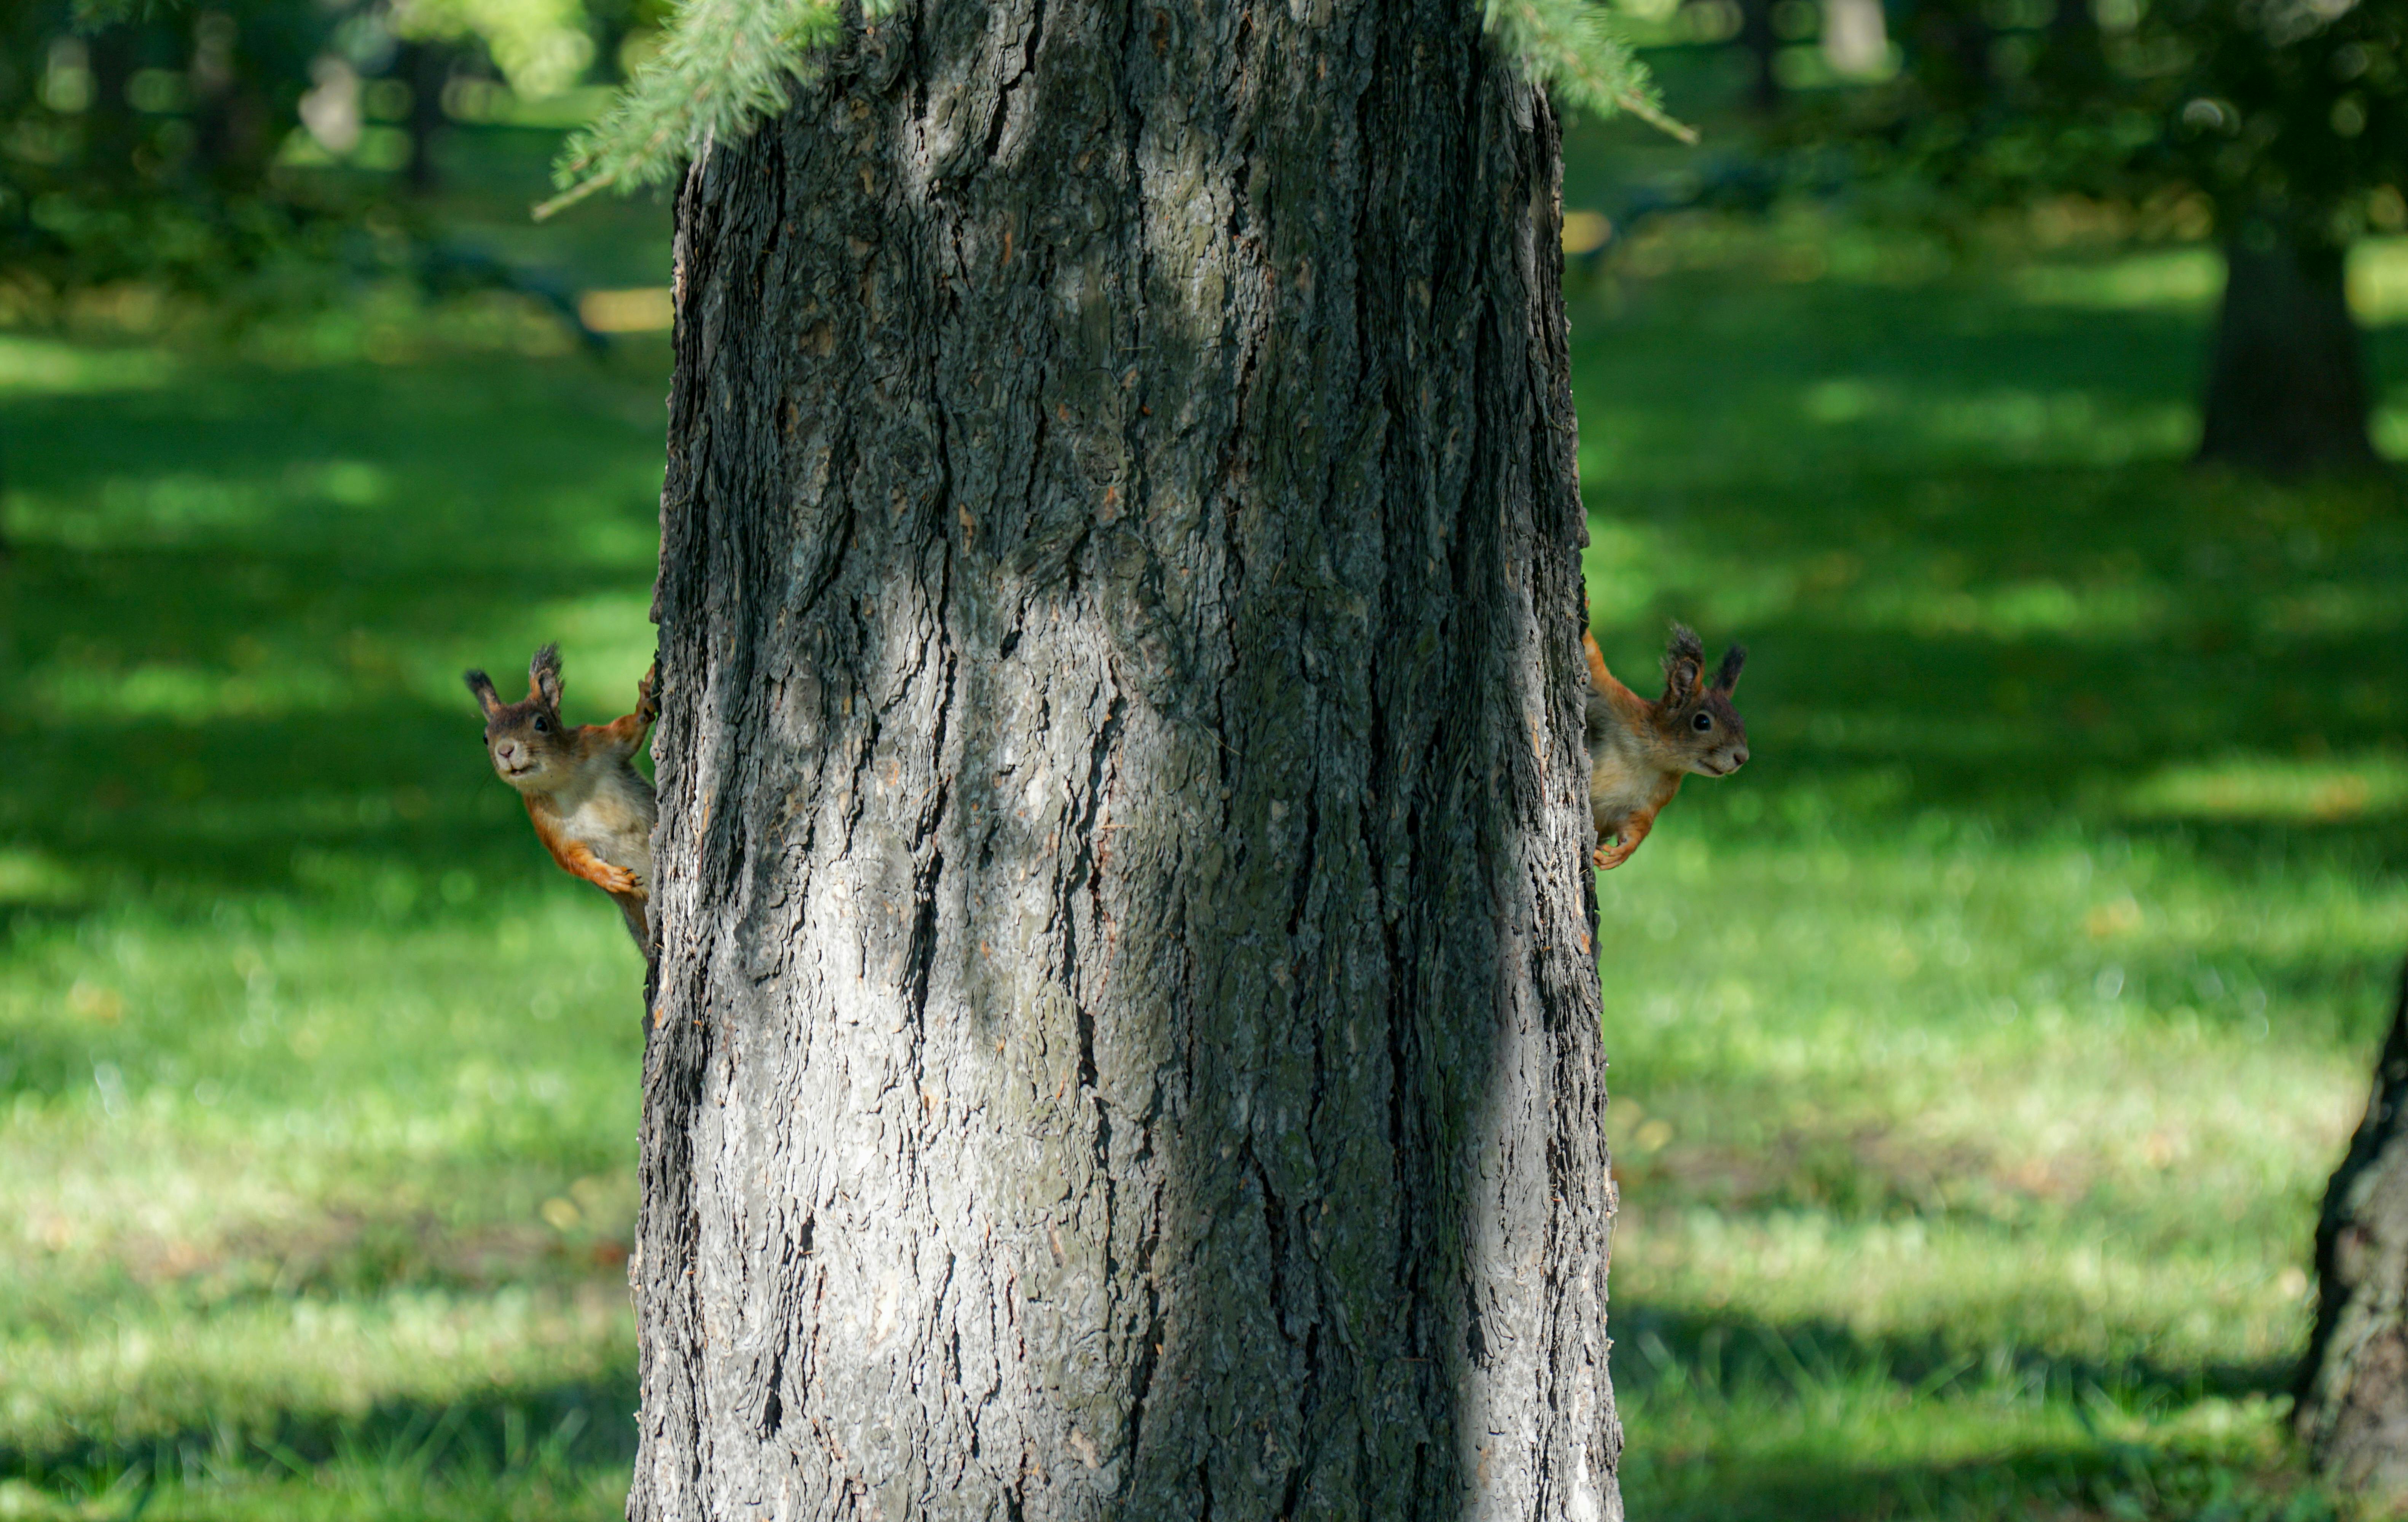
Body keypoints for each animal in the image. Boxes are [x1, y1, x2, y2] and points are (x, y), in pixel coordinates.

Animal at [465, 645, 660, 954]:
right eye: (485, 737)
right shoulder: (545, 823)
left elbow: (630, 730)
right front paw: (611, 878)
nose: (505, 750)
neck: (565, 781)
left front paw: (644, 700)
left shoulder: (599, 741)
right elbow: (570, 858)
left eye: (541, 724)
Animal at [1579, 621, 1753, 867]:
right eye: (1702, 722)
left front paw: (1622, 853)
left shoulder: (1652, 802)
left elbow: (1639, 826)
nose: (1742, 757)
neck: (1652, 756)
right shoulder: (1616, 704)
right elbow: (1596, 667)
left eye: (1741, 721)